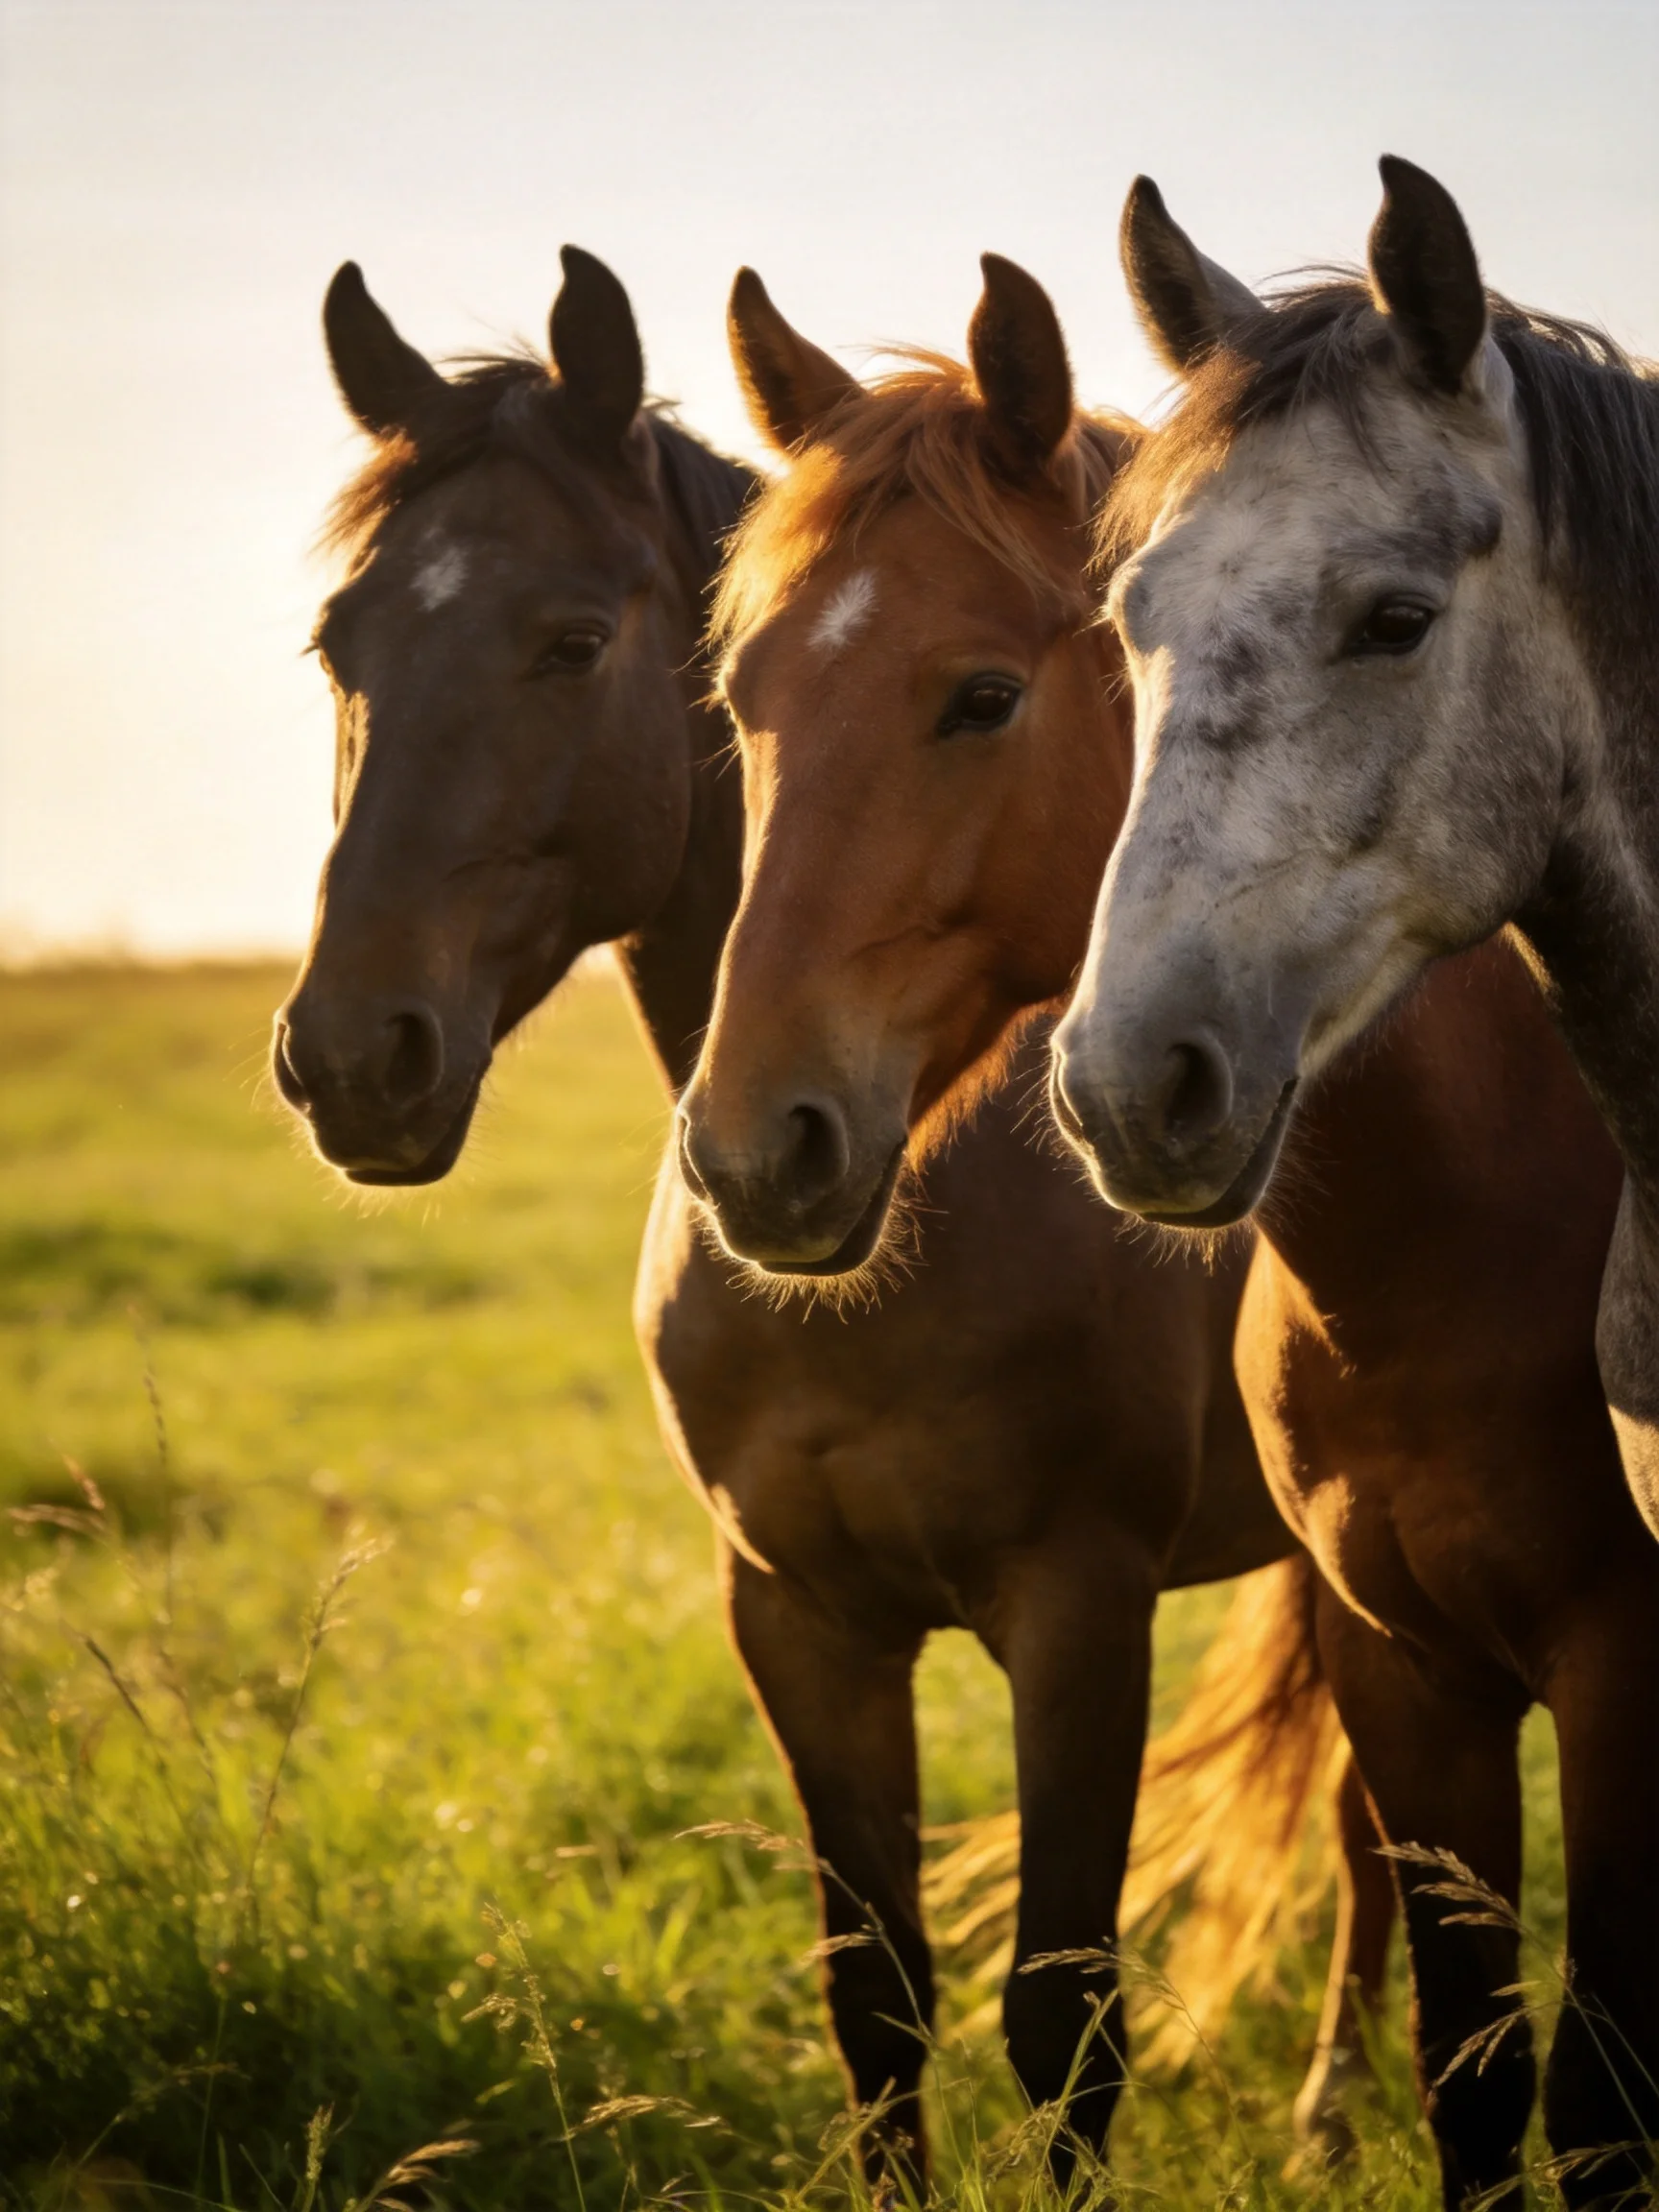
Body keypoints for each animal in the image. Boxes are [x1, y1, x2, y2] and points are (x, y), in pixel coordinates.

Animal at [273, 252, 1378, 2187]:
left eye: (574, 643)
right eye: (343, 644)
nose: (350, 1055)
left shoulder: (1078, 1606)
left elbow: (1062, 2018)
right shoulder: (797, 1614)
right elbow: (877, 2005)